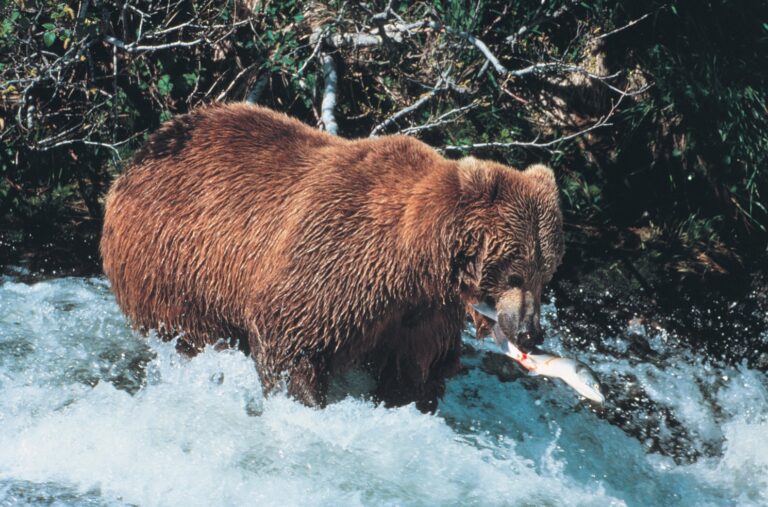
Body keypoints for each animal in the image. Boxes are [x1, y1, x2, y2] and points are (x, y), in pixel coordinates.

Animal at [100, 104, 564, 411]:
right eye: (515, 273)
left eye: (546, 275)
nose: (530, 333)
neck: (416, 258)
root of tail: (137, 157)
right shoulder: (339, 257)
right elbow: (292, 336)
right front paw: (305, 398)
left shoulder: (419, 310)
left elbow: (416, 366)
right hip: (174, 263)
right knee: (189, 333)